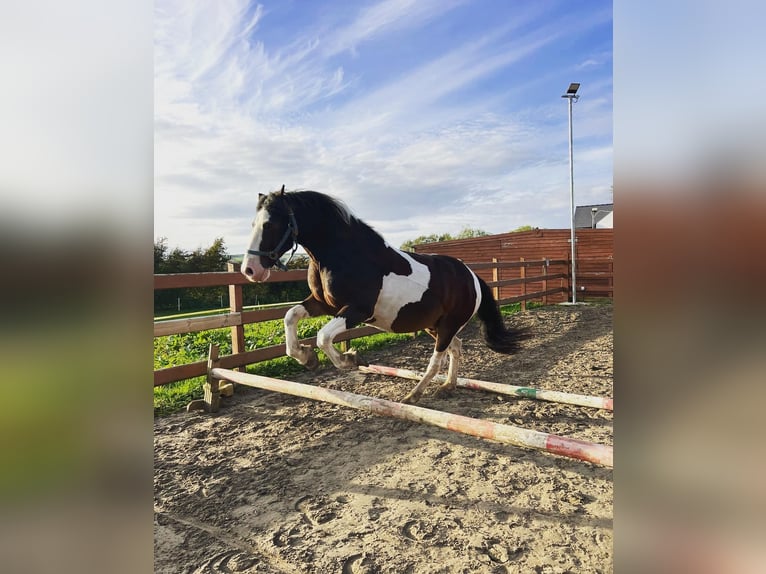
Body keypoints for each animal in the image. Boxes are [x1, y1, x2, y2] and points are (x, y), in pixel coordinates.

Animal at [241, 186, 529, 404]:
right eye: (253, 223)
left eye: (270, 224)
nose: (250, 270)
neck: (345, 254)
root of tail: (470, 275)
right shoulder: (324, 305)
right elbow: (290, 316)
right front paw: (307, 358)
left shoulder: (357, 310)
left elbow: (323, 337)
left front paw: (350, 359)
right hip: (434, 325)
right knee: (456, 348)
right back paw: (447, 386)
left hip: (447, 325)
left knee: (437, 359)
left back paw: (414, 395)